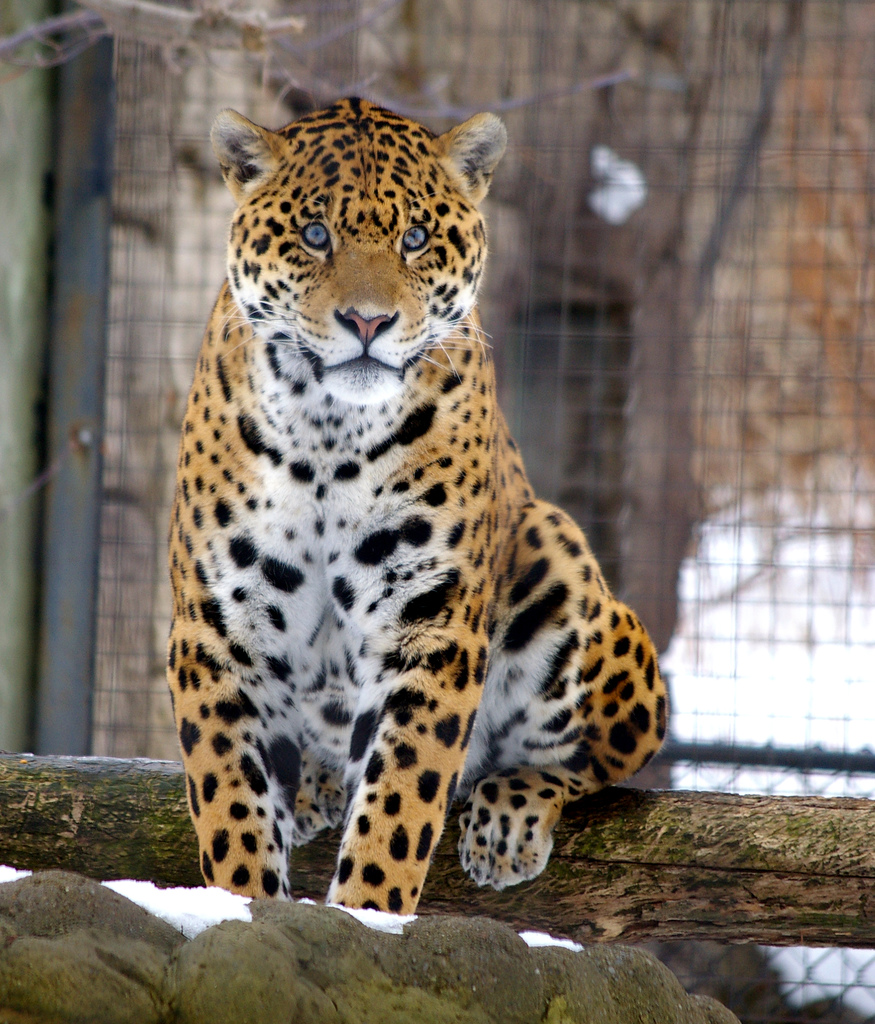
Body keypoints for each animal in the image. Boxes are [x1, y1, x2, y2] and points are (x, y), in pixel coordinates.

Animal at [166, 97, 668, 915]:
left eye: (415, 239)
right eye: (315, 235)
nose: (368, 323)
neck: (327, 432)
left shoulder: (430, 622)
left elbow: (401, 803)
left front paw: (367, 918)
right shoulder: (218, 626)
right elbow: (229, 804)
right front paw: (243, 908)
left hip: (558, 554)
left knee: (606, 753)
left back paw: (507, 821)